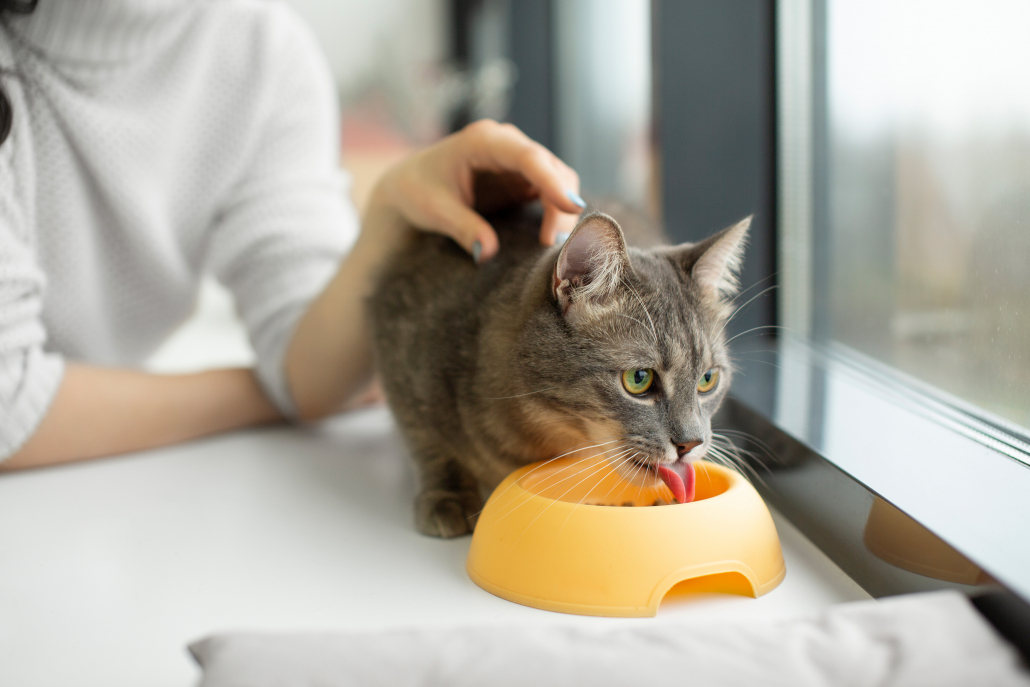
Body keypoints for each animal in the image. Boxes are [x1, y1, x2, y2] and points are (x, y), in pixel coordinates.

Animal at [370, 190, 749, 539]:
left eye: (708, 380)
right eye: (639, 378)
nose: (691, 444)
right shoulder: (397, 347)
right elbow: (428, 443)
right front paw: (447, 495)